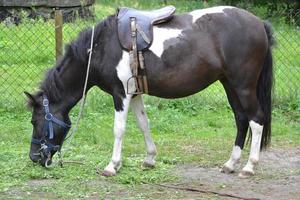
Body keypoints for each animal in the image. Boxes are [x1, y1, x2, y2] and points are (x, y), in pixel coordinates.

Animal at [25, 5, 274, 178]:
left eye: (35, 121)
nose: (35, 157)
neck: (100, 47)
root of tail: (259, 23)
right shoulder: (134, 94)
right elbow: (144, 124)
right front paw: (149, 159)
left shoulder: (121, 95)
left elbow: (119, 129)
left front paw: (112, 166)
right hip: (229, 84)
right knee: (241, 119)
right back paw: (230, 164)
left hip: (243, 86)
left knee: (256, 120)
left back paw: (249, 167)